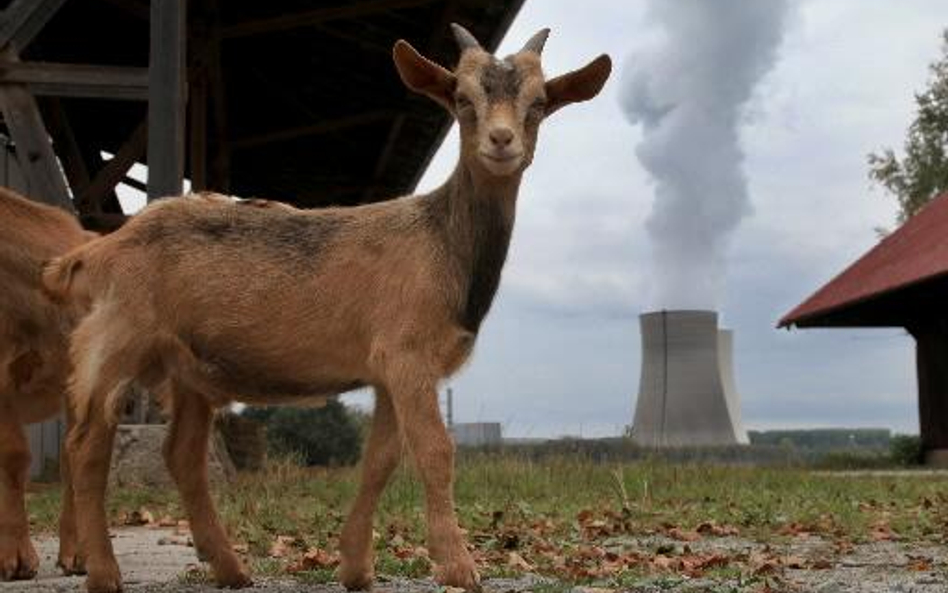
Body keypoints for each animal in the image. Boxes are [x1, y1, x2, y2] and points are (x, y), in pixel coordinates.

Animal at [46, 25, 608, 592]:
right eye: (462, 99)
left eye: (539, 104)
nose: (501, 140)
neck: (441, 245)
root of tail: (97, 250)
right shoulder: (406, 353)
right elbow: (434, 451)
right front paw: (459, 566)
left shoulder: (388, 371)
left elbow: (380, 459)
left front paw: (357, 567)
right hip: (118, 338)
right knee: (86, 444)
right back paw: (104, 572)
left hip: (187, 367)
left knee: (180, 454)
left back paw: (230, 568)